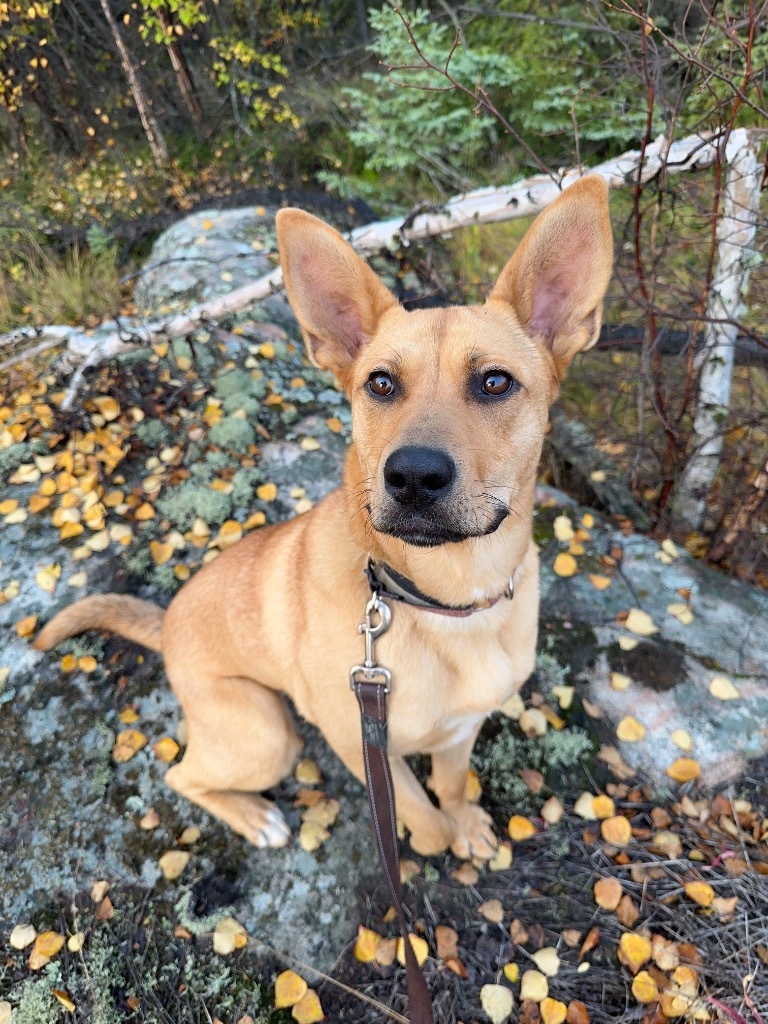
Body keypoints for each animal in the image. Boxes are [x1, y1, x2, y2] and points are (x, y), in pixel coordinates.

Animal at [34, 178, 614, 864]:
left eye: (496, 382)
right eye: (381, 383)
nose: (412, 476)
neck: (446, 600)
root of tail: (168, 622)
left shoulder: (461, 729)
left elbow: (451, 786)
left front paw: (466, 825)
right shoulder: (358, 740)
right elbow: (420, 814)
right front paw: (437, 840)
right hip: (267, 734)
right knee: (181, 774)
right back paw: (256, 818)